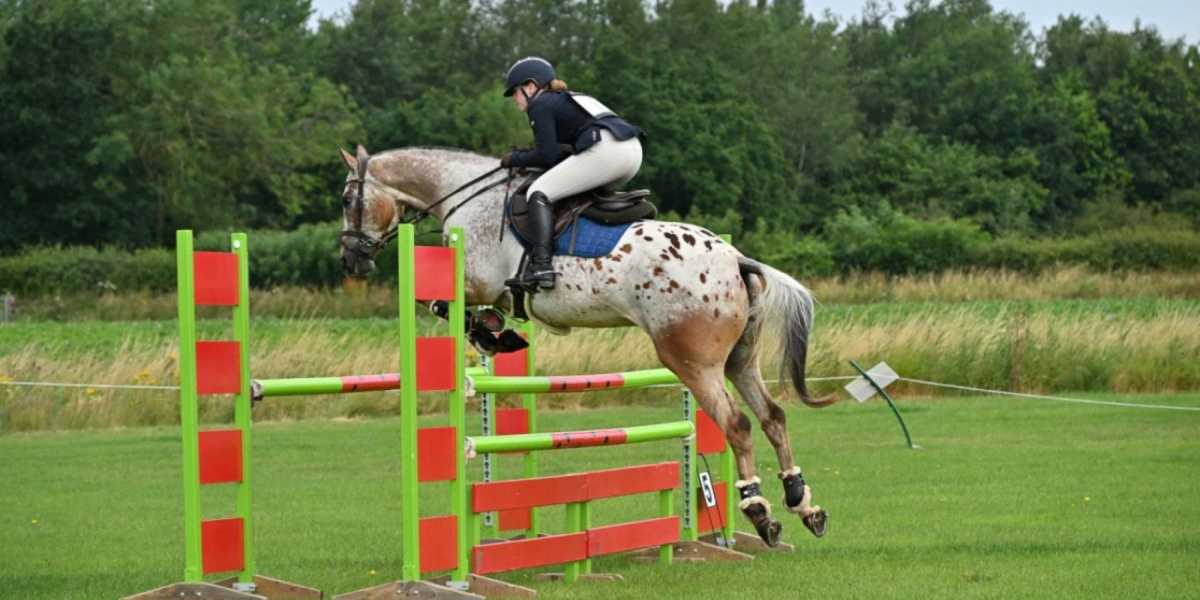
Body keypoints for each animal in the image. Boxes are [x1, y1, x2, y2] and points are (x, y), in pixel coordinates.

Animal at [333, 144, 830, 544]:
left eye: (346, 200)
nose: (351, 259)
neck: (463, 195)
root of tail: (735, 258)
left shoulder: (475, 282)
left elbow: (437, 302)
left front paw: (491, 333)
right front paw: (497, 331)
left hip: (691, 361)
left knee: (738, 426)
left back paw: (760, 512)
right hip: (738, 361)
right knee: (773, 417)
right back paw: (802, 502)